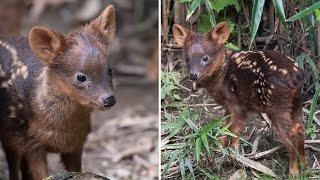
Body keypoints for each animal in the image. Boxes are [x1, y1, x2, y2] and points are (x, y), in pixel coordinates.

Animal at [0, 4, 116, 179]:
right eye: (81, 77)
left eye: (109, 69)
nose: (109, 99)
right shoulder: (31, 142)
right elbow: (40, 174)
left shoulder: (76, 144)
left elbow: (76, 170)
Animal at [174, 22, 306, 176]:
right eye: (187, 59)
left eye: (205, 58)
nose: (193, 75)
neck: (222, 76)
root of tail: (296, 77)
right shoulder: (228, 104)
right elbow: (225, 125)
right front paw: (221, 143)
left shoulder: (237, 103)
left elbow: (234, 128)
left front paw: (233, 153)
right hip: (296, 102)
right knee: (299, 128)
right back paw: (305, 167)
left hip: (277, 104)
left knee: (290, 133)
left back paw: (294, 171)